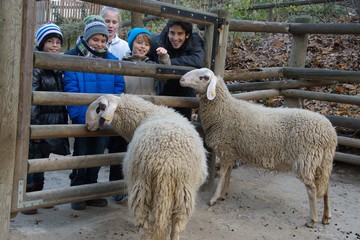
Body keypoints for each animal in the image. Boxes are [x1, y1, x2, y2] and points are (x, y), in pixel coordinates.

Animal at [85, 94, 208, 240]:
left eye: (101, 107)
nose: (87, 124)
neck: (148, 114)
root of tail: (166, 166)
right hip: (184, 193)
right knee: (176, 229)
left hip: (141, 188)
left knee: (144, 228)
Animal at [180, 67, 338, 227]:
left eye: (204, 77)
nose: (181, 79)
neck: (225, 109)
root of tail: (330, 133)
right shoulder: (232, 150)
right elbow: (229, 172)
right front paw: (224, 194)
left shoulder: (226, 148)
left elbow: (223, 173)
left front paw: (214, 198)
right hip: (322, 162)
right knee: (325, 187)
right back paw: (326, 216)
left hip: (306, 160)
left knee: (312, 189)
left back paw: (312, 219)